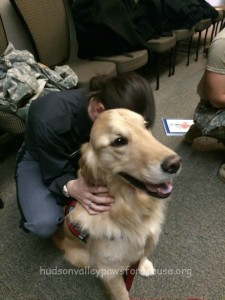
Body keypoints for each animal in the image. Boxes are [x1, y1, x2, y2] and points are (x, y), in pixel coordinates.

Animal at [54, 109, 181, 300]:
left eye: (145, 125)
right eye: (119, 141)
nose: (175, 163)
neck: (131, 207)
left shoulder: (148, 235)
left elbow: (142, 253)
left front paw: (143, 264)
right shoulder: (110, 272)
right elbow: (122, 294)